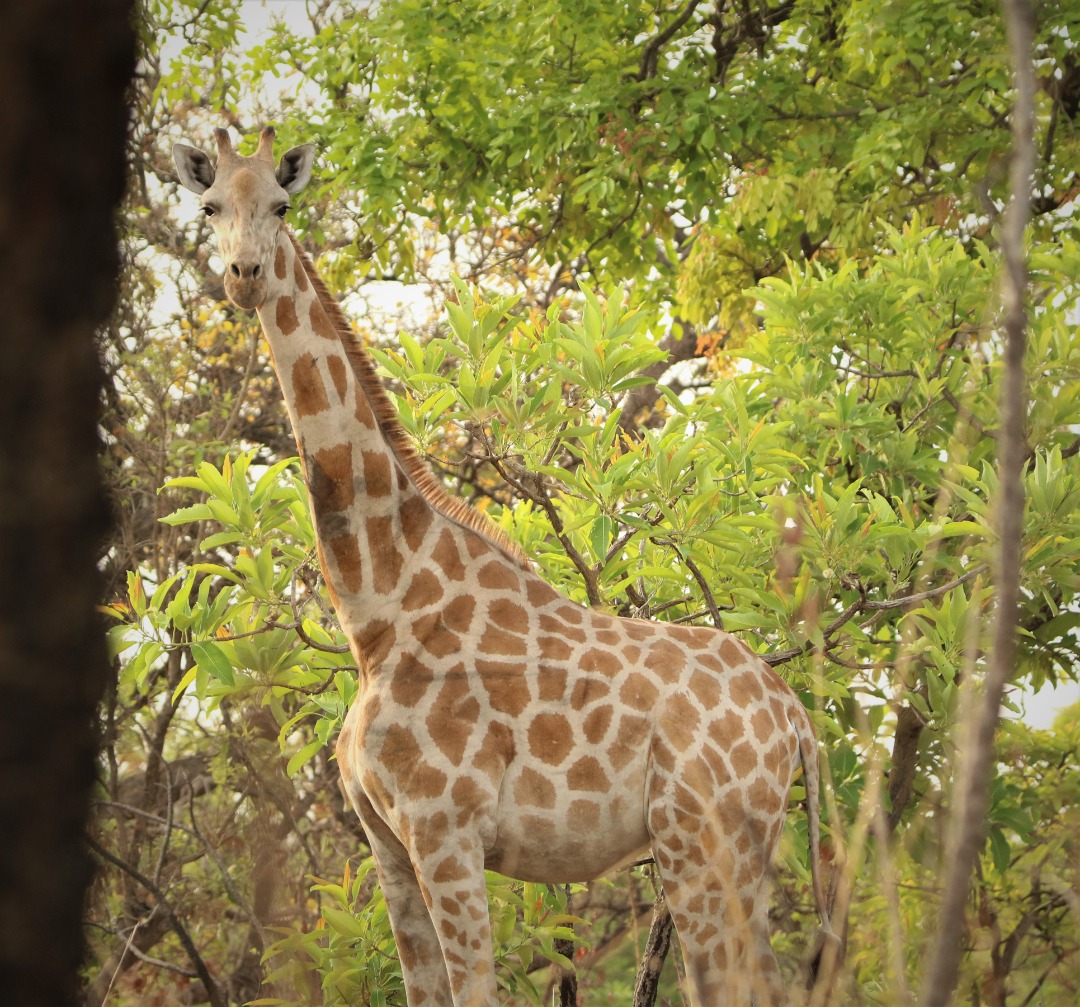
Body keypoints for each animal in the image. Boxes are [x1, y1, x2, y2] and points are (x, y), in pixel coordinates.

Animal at [174, 127, 833, 1006]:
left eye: (282, 206)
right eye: (210, 207)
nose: (243, 274)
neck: (376, 610)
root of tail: (793, 715)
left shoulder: (446, 831)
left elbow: (478, 991)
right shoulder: (387, 844)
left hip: (701, 840)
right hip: (741, 847)